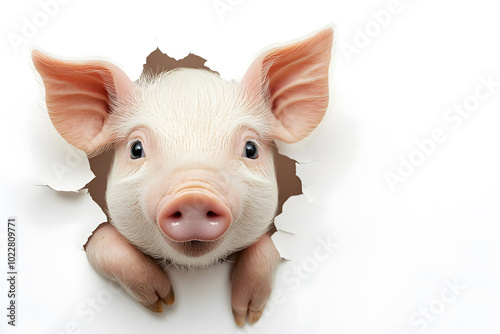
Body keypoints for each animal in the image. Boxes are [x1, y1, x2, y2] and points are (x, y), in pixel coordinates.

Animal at [33, 27, 334, 324]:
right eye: (136, 149)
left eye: (251, 149)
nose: (194, 196)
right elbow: (101, 241)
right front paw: (164, 302)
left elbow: (270, 246)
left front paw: (246, 317)